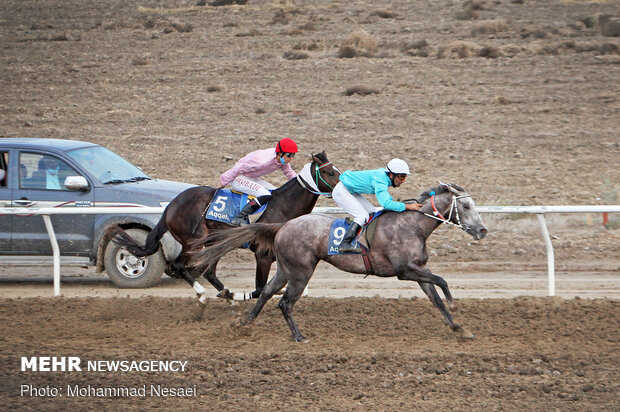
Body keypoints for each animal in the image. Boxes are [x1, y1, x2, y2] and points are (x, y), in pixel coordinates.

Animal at [114, 151, 342, 302]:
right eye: (331, 172)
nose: (344, 186)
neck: (284, 207)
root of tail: (172, 205)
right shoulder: (263, 255)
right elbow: (260, 288)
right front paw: (247, 296)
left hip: (216, 242)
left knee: (209, 272)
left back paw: (227, 293)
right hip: (194, 240)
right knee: (179, 265)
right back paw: (203, 294)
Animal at [191, 183, 486, 342]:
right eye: (466, 206)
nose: (482, 230)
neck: (412, 226)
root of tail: (283, 225)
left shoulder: (419, 269)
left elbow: (435, 297)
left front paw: (460, 328)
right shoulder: (405, 271)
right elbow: (442, 281)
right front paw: (453, 303)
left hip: (286, 268)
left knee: (265, 293)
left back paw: (245, 323)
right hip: (302, 271)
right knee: (284, 302)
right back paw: (299, 336)